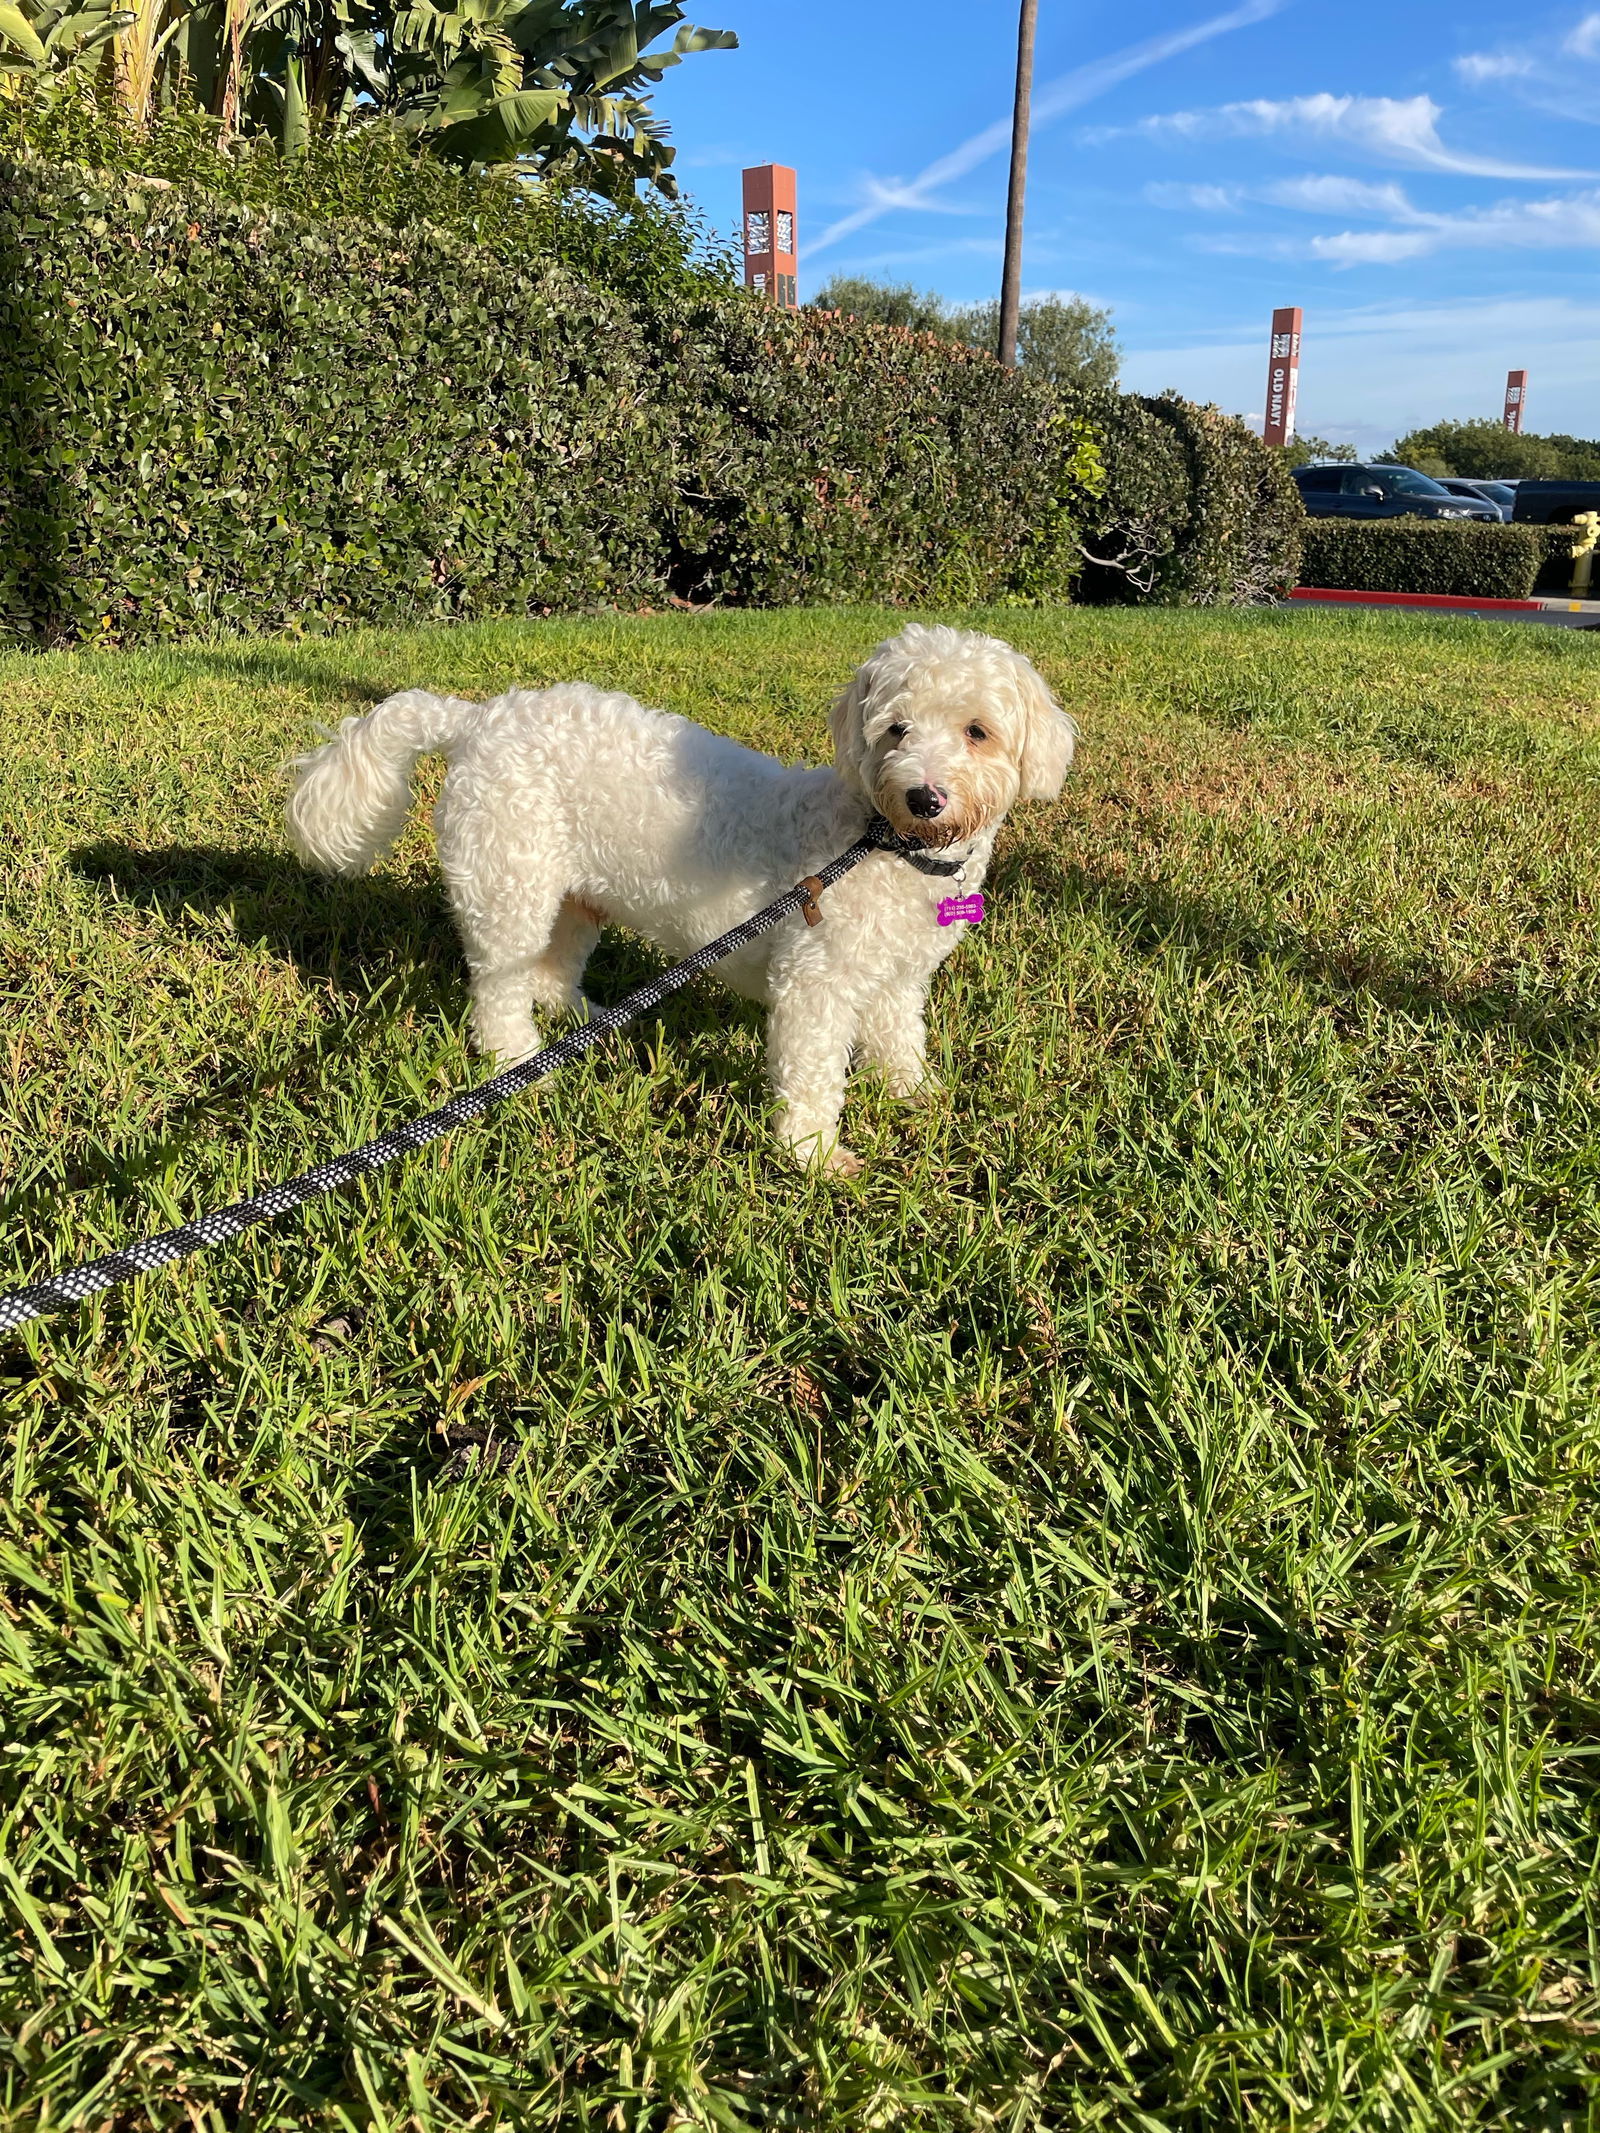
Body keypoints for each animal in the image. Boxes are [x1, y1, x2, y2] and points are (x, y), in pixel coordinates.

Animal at [288, 622, 1079, 1177]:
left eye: (977, 732)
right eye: (896, 730)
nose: (924, 796)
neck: (881, 844)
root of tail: (474, 721)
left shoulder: (898, 977)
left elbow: (899, 1040)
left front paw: (916, 1094)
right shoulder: (814, 983)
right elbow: (812, 1074)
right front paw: (814, 1156)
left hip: (577, 897)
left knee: (552, 970)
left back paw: (584, 1022)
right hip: (510, 887)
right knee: (499, 987)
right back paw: (519, 1059)